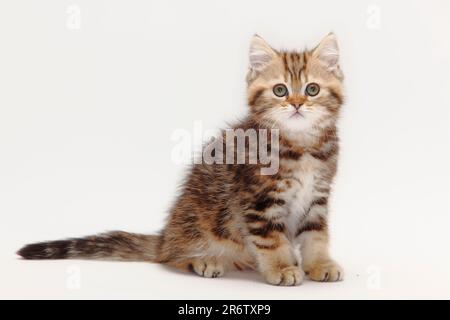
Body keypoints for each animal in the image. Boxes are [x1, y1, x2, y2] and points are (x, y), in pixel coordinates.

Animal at [15, 33, 342, 286]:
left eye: (312, 89)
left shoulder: (317, 197)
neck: (302, 147)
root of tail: (166, 235)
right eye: (280, 90)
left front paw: (319, 265)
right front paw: (282, 268)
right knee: (171, 256)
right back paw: (204, 261)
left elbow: (316, 235)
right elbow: (271, 240)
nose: (297, 104)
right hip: (201, 222)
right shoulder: (257, 201)